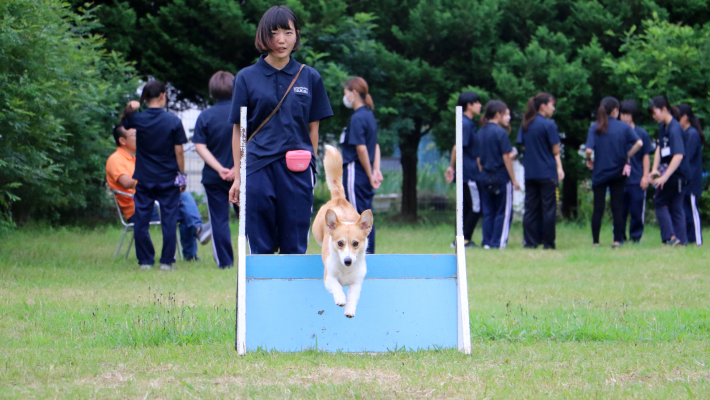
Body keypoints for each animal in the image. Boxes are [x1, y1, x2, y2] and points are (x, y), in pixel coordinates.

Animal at [314, 145, 376, 318]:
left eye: (355, 243)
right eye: (340, 243)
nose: (348, 261)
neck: (345, 270)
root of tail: (339, 198)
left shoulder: (356, 283)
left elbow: (353, 297)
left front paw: (349, 310)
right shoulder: (329, 277)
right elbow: (336, 286)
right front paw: (341, 299)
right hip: (316, 232)